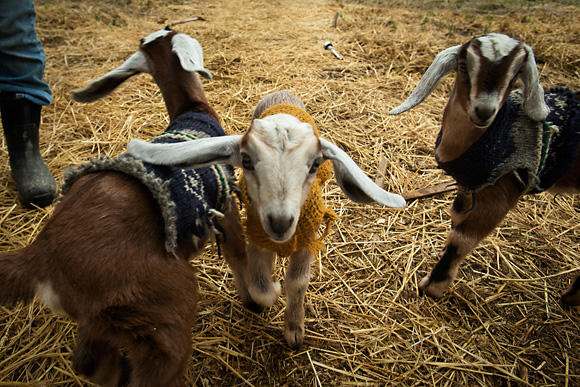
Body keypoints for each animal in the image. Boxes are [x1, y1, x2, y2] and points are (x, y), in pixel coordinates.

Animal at [0, 28, 249, 387]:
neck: (193, 109)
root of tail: (41, 257)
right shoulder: (225, 204)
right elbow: (239, 255)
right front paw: (259, 300)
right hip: (163, 305)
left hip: (106, 319)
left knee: (90, 362)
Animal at [127, 89, 408, 350]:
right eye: (246, 160)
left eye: (316, 164)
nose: (280, 222)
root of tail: (281, 94)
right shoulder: (257, 237)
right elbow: (260, 290)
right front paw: (273, 286)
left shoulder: (308, 237)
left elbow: (297, 283)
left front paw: (294, 330)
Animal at [388, 32, 580, 306]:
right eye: (463, 67)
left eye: (516, 74)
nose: (484, 111)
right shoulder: (468, 188)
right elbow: (457, 219)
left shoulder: (500, 194)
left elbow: (461, 239)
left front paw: (432, 287)